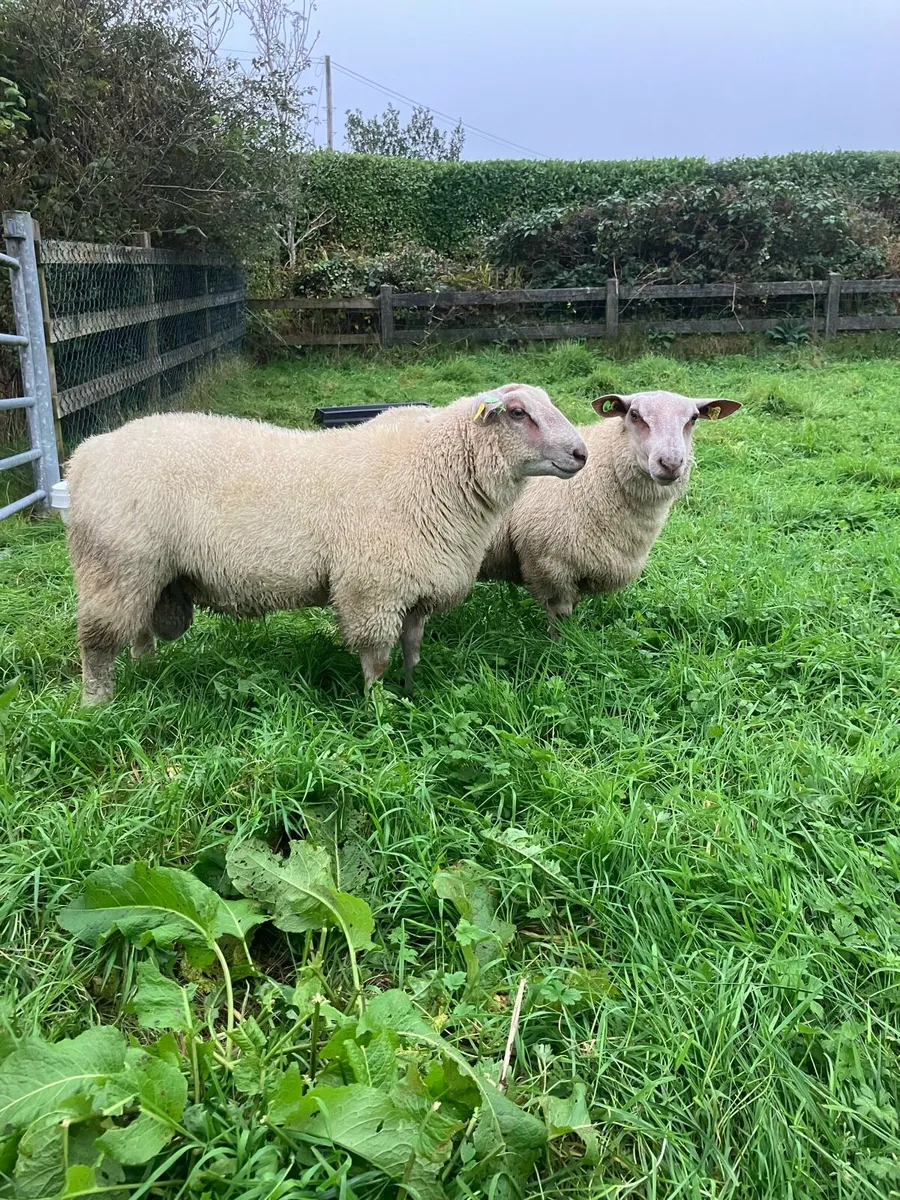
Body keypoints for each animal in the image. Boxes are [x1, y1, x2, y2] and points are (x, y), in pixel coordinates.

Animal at [65, 384, 587, 703]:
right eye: (518, 413)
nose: (581, 453)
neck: (433, 470)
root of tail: (85, 454)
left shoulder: (416, 588)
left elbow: (413, 649)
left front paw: (411, 694)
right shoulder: (373, 588)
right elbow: (376, 659)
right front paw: (378, 711)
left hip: (143, 573)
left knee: (138, 631)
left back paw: (149, 674)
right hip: (113, 564)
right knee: (96, 644)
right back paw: (98, 706)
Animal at [479, 390, 741, 636]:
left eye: (693, 418)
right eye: (634, 415)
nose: (670, 463)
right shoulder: (550, 565)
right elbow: (560, 617)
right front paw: (561, 648)